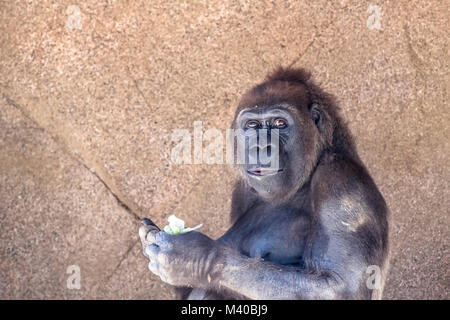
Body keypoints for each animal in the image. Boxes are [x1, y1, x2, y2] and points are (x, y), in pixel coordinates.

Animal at [140, 67, 390, 300]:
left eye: (279, 123)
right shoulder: (242, 190)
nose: (260, 146)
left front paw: (192, 258)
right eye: (252, 125)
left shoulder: (340, 179)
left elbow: (339, 288)